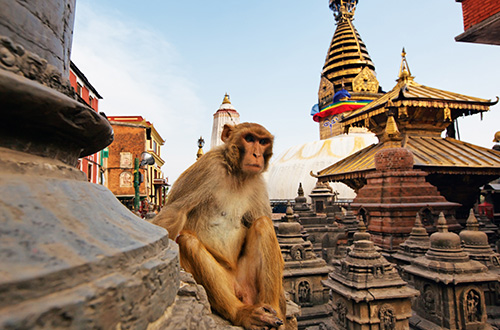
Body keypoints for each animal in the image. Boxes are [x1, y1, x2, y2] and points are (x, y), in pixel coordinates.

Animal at [152, 122, 286, 328]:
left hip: (249, 282)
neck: (237, 173)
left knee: (263, 224)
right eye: (249, 139)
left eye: (263, 142)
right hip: (226, 282)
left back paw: (273, 309)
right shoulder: (208, 167)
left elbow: (260, 219)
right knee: (187, 241)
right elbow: (175, 212)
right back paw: (241, 313)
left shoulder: (258, 183)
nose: (257, 154)